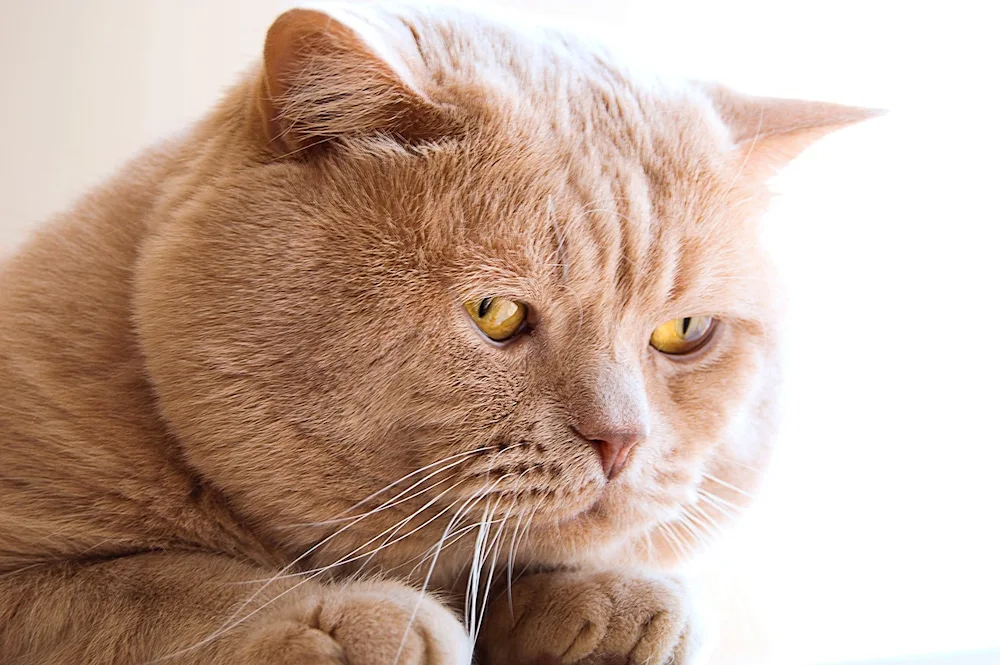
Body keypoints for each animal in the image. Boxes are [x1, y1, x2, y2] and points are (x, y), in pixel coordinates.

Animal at [0, 5, 876, 664]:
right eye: (496, 313)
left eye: (683, 330)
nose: (620, 440)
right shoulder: (30, 575)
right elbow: (161, 588)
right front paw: (348, 616)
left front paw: (606, 603)